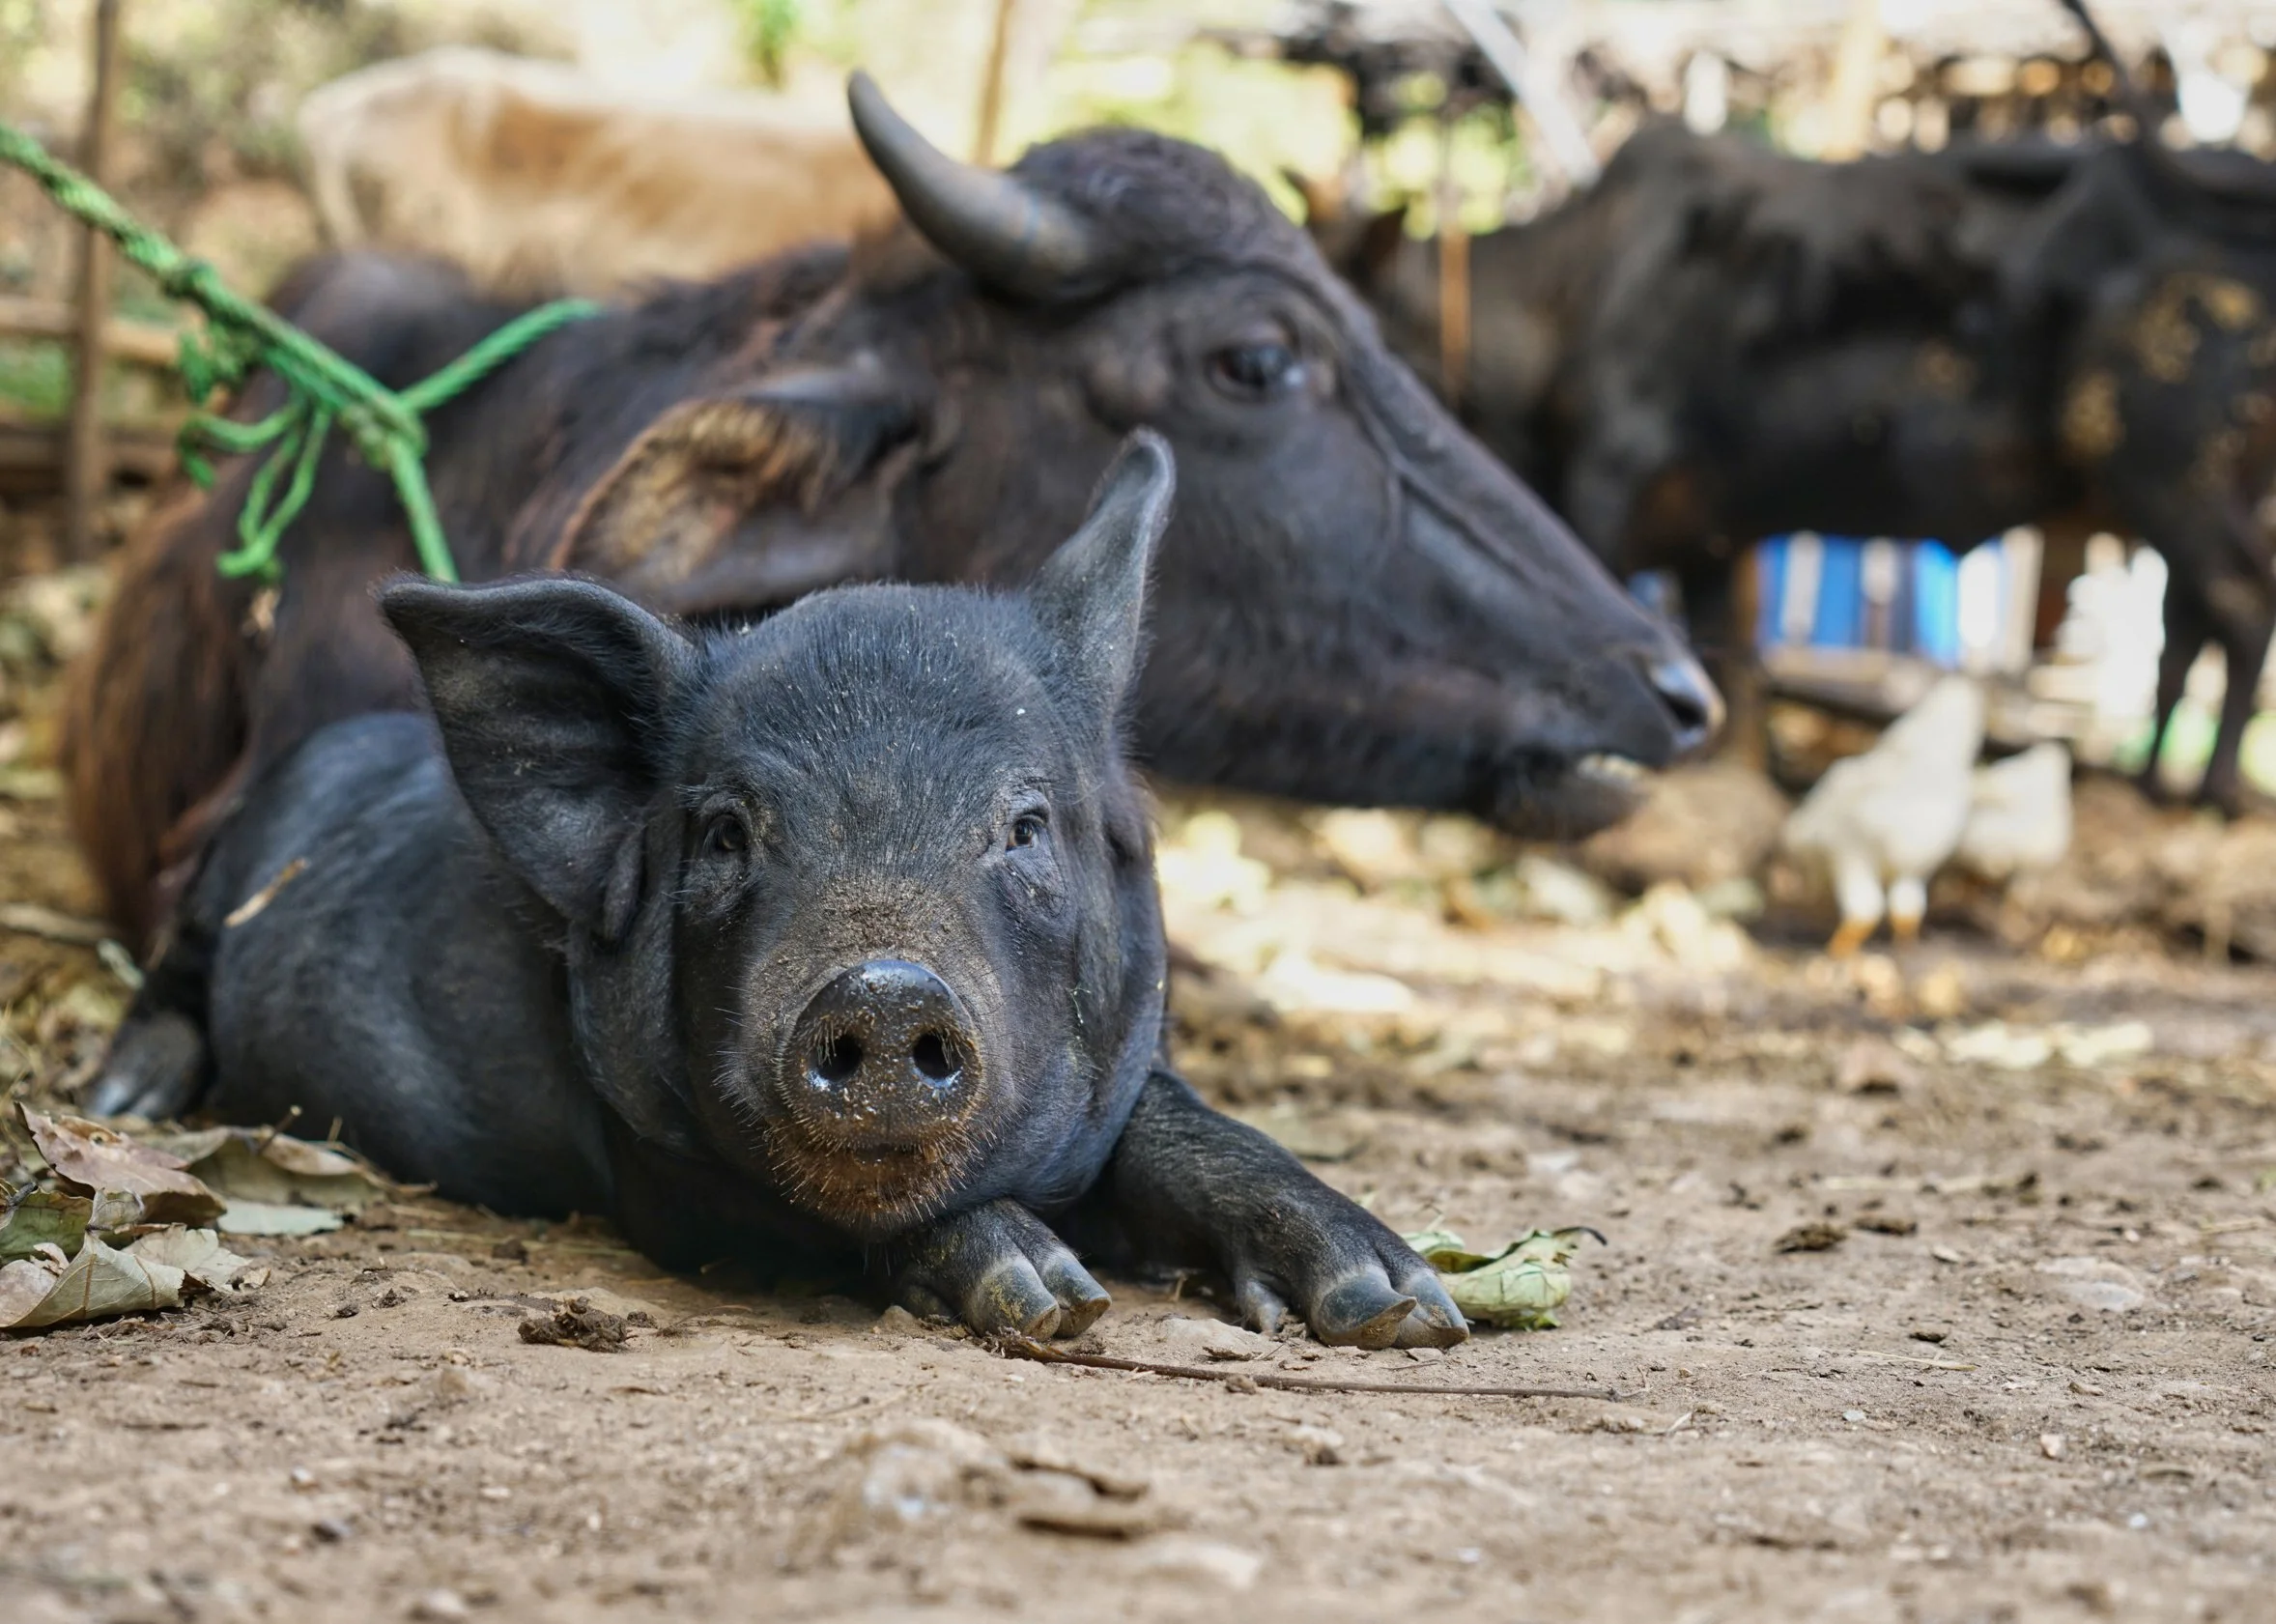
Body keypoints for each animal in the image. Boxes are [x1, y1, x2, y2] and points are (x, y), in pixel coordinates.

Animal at [92, 434, 1465, 1348]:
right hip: (219, 882)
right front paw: (1050, 1300)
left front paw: (1401, 1305)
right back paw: (124, 1097)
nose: (885, 986)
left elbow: (1177, 1128)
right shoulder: (658, 1176)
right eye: (723, 835)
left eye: (1024, 825)